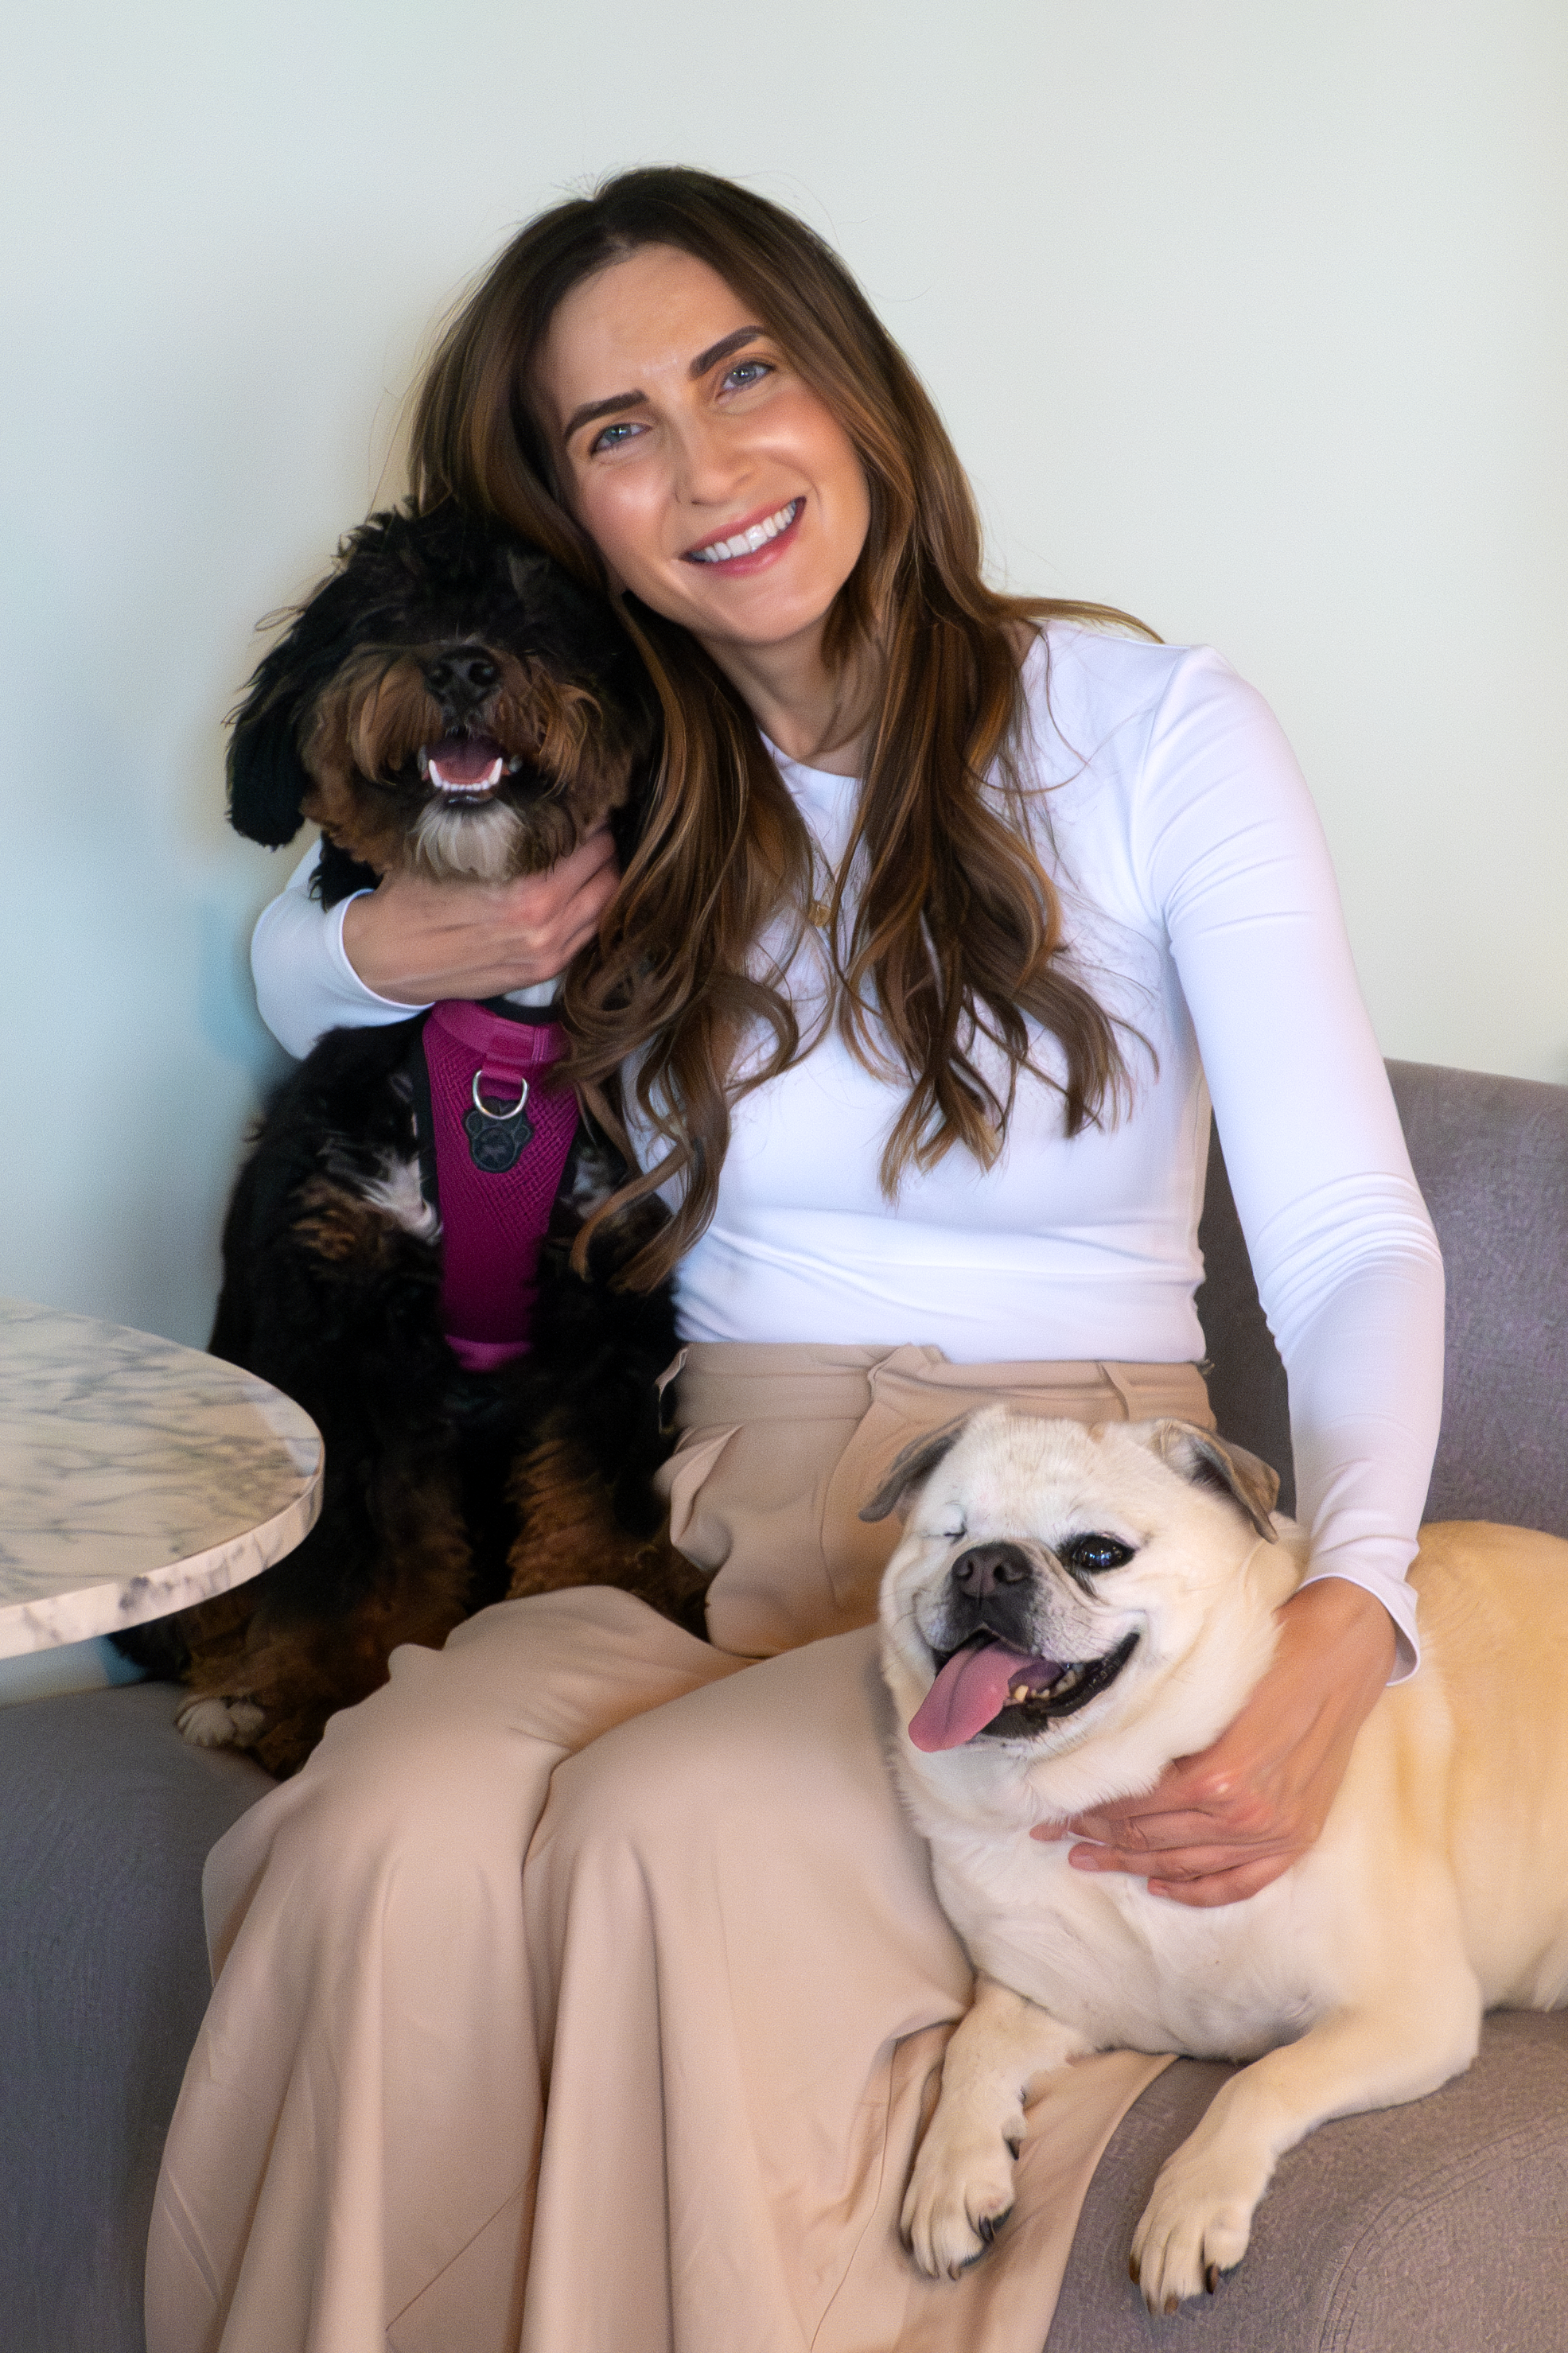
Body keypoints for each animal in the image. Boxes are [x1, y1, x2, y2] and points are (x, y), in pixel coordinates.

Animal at [122, 505, 701, 1769]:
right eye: (382, 609)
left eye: (546, 608)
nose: (464, 665)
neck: (497, 1044)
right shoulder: (342, 1331)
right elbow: (359, 1555)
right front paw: (327, 1704)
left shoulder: (605, 1321)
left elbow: (592, 1515)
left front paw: (594, 1620)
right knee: (199, 1612)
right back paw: (231, 1688)